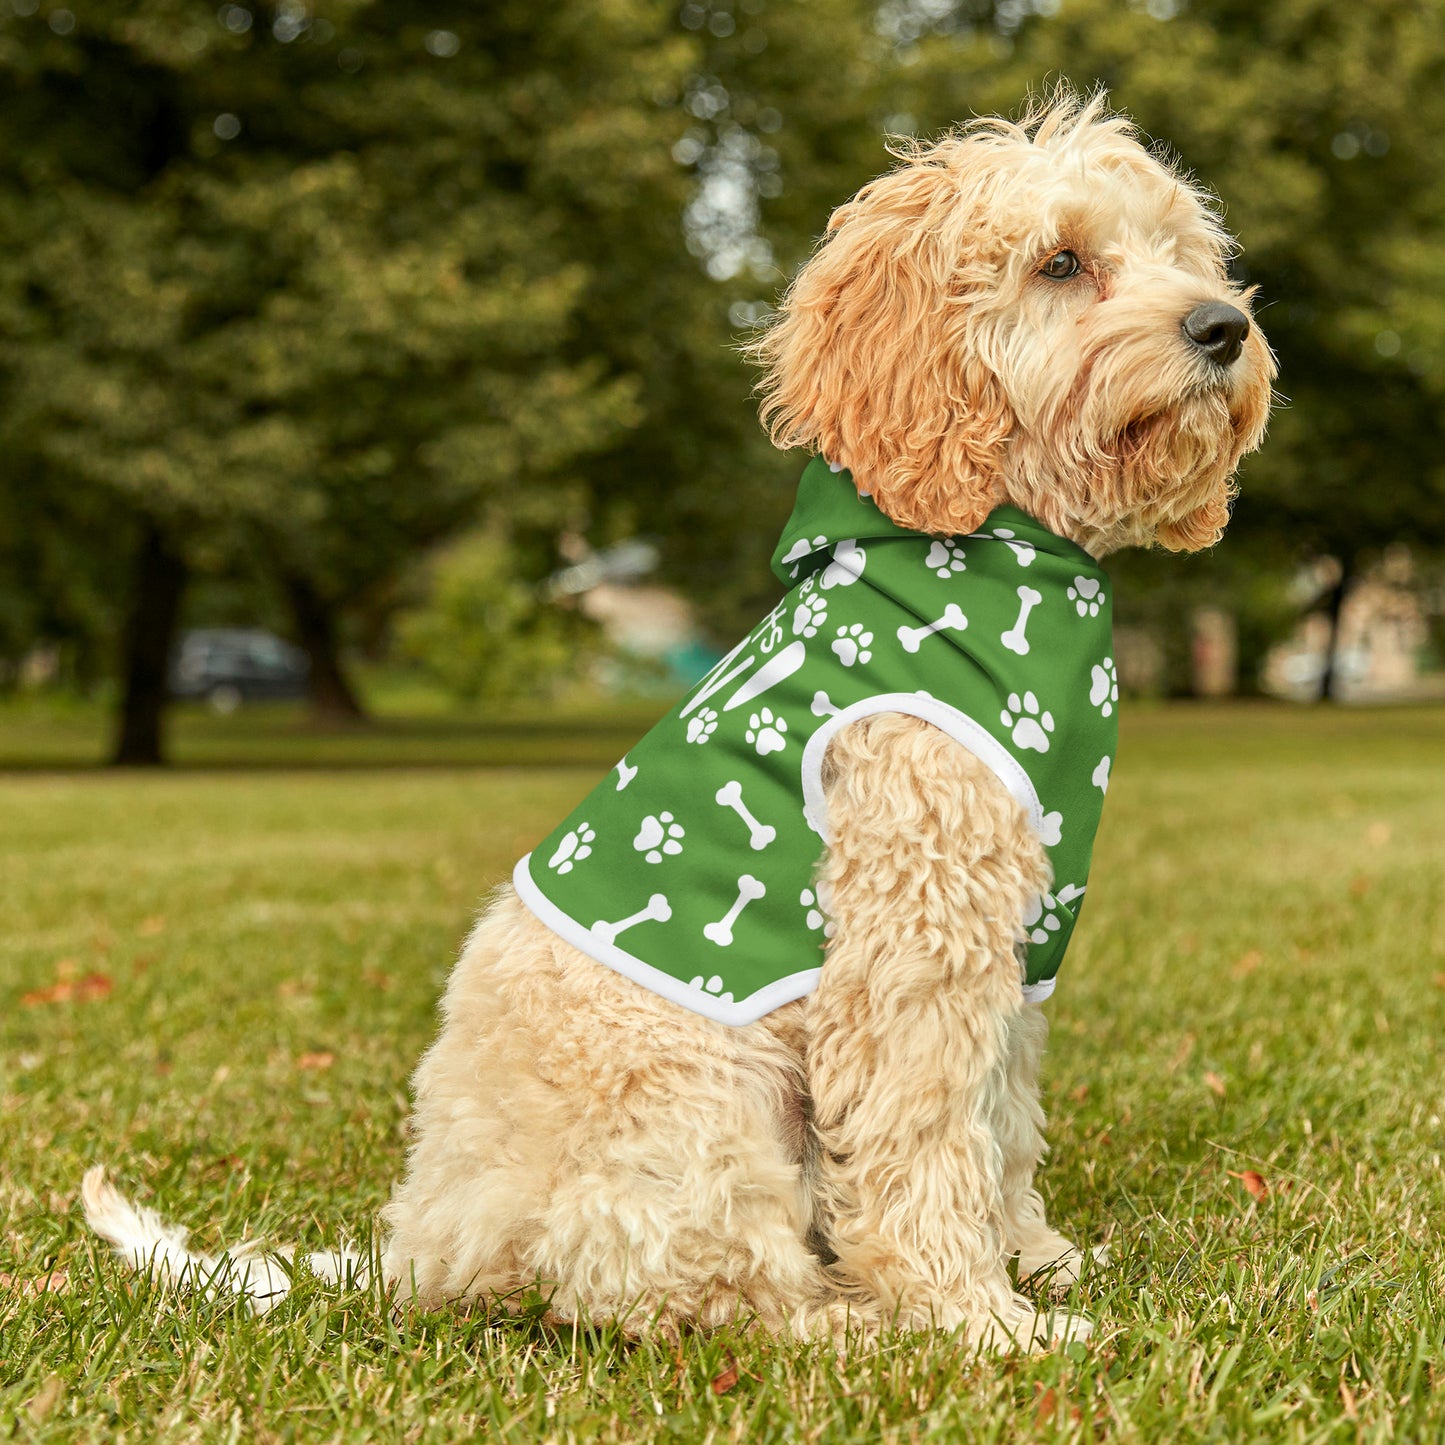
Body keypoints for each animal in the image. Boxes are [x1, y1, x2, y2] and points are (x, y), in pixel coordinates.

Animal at [84, 96, 1271, 1346]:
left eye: (1181, 253)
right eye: (1060, 262)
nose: (1222, 326)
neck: (994, 547)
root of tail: (423, 1248)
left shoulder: (1016, 943)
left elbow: (1000, 1122)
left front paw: (1034, 1259)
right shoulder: (914, 940)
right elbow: (925, 1139)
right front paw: (977, 1319)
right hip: (704, 1103)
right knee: (698, 1287)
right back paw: (848, 1320)